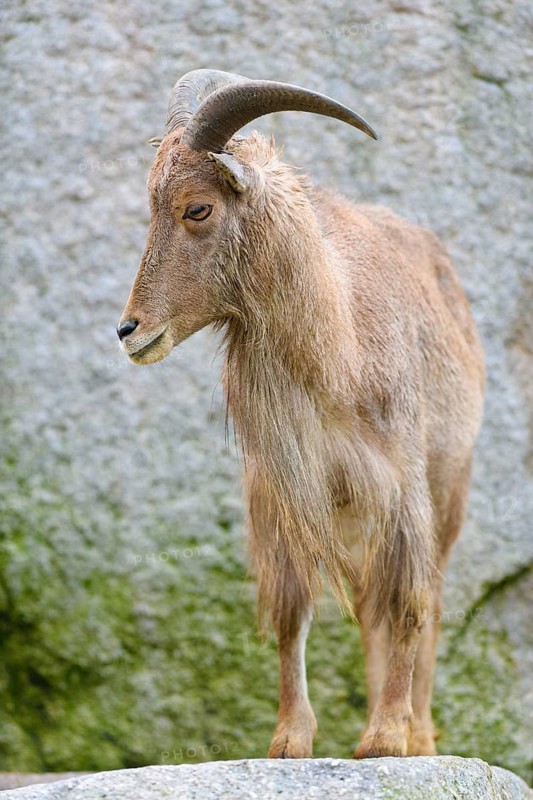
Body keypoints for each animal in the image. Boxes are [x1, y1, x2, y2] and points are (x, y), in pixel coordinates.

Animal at [117, 69, 485, 759]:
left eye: (197, 207)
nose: (130, 331)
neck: (337, 354)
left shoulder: (403, 485)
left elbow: (410, 601)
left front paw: (387, 736)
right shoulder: (283, 493)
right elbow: (293, 611)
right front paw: (290, 739)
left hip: (449, 487)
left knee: (427, 601)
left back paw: (418, 733)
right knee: (369, 607)